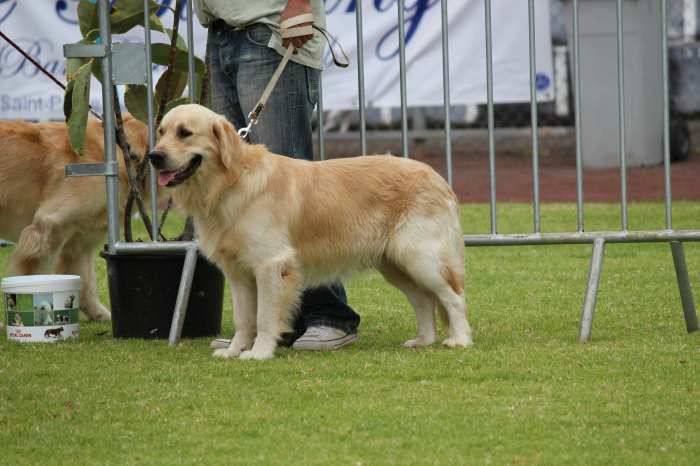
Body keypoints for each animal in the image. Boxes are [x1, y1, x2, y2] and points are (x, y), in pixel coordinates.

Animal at [150, 104, 474, 360]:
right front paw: (233, 350)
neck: (231, 183)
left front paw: (259, 353)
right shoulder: (237, 273)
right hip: (396, 265)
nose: (154, 156)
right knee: (424, 300)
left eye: (185, 133)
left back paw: (459, 340)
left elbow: (264, 317)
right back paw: (423, 340)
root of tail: (438, 177)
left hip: (419, 257)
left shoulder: (271, 265)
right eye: (161, 131)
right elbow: (243, 318)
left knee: (453, 297)